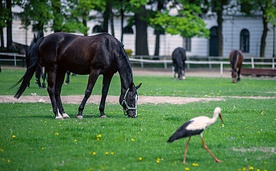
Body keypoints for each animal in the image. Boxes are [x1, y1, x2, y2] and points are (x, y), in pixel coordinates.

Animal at [12, 31, 141, 119]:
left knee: (57, 90)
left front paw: (102, 113)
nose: (133, 114)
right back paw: (57, 114)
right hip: (52, 68)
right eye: (130, 98)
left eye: (137, 98)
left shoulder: (108, 74)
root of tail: (44, 38)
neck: (110, 48)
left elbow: (104, 93)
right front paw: (80, 112)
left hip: (62, 70)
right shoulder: (95, 71)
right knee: (51, 89)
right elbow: (88, 91)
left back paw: (63, 113)